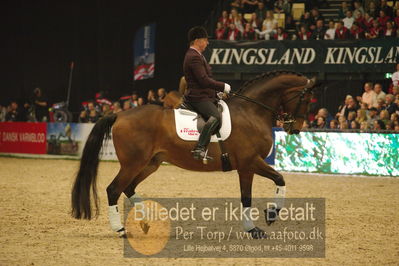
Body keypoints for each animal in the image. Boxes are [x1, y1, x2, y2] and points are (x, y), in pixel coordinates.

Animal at [71, 70, 316, 237]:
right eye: (304, 99)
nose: (295, 128)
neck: (251, 113)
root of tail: (119, 115)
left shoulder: (247, 166)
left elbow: (260, 189)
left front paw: (259, 223)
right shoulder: (249, 163)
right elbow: (272, 182)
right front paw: (264, 221)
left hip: (150, 163)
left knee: (128, 188)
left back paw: (146, 222)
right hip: (133, 163)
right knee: (114, 189)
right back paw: (121, 229)